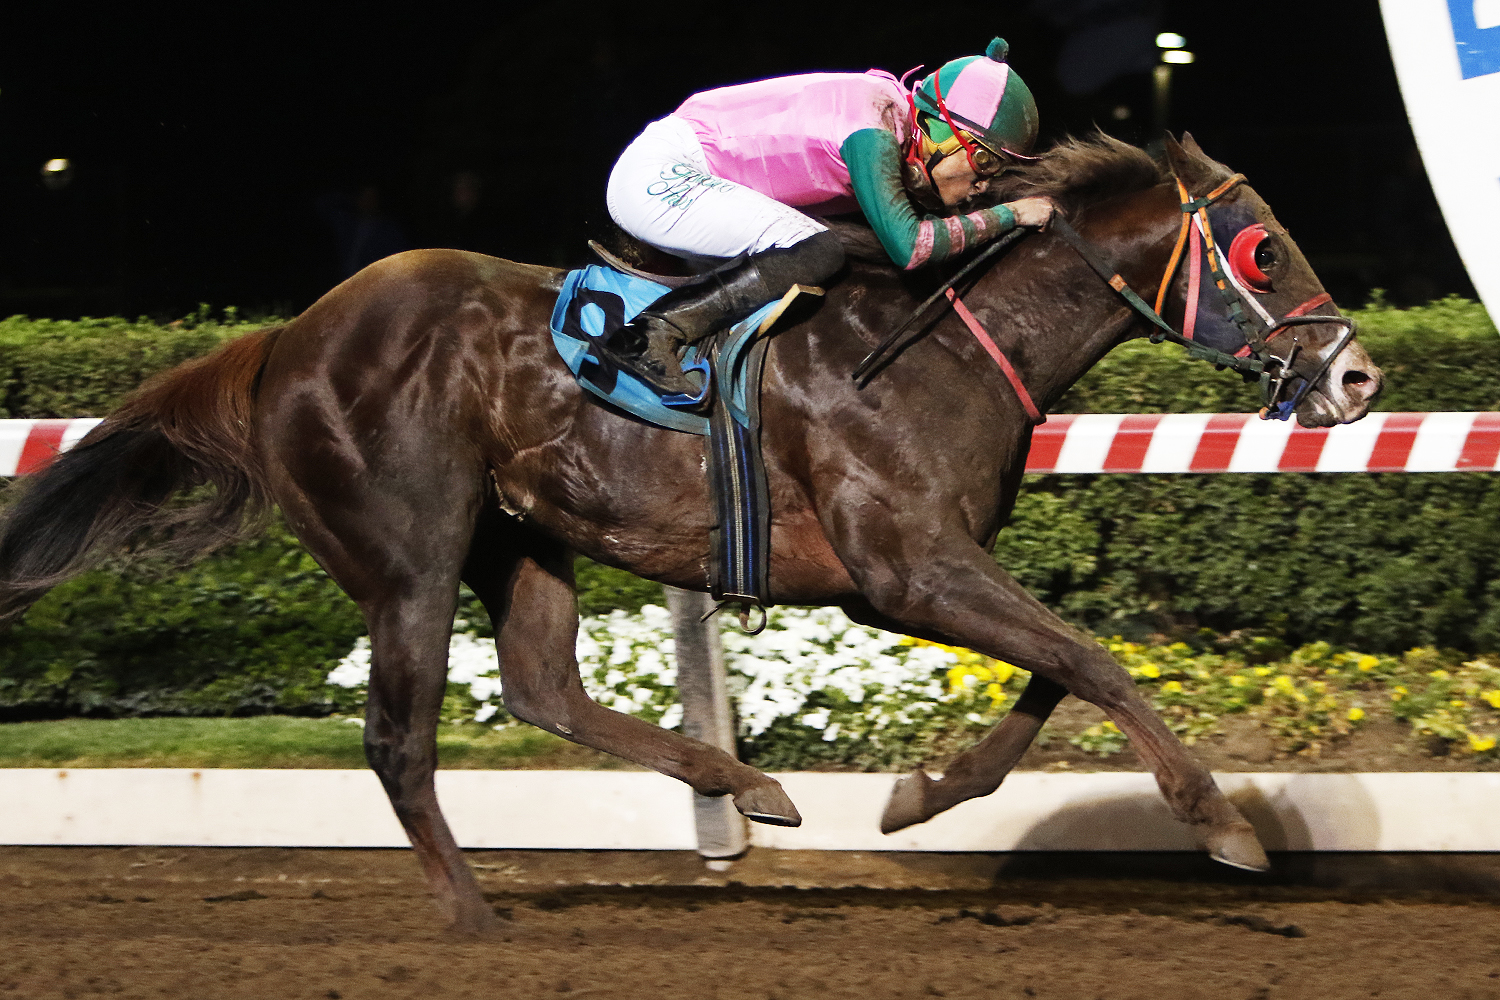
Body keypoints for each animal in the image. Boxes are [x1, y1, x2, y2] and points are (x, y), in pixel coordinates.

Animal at [0, 134, 1382, 932]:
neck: (941, 344)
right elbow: (1090, 659)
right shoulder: (909, 565)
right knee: (398, 737)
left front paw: (920, 795)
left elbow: (1054, 671)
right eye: (1263, 245)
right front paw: (1223, 823)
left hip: (520, 535)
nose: (1356, 378)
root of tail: (284, 341)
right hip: (407, 552)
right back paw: (473, 917)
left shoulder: (913, 573)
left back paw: (745, 786)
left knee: (542, 685)